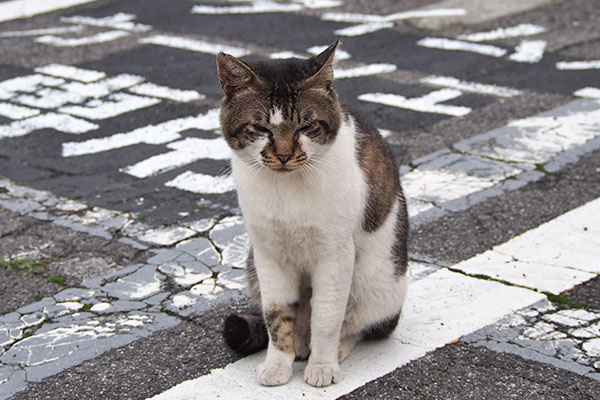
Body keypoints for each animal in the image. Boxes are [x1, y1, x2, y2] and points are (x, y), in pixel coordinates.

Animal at [216, 39, 408, 388]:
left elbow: (327, 317)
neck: (285, 190)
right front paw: (278, 364)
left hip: (378, 280)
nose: (283, 154)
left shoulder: (335, 255)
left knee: (363, 324)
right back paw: (300, 344)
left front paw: (322, 365)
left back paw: (336, 348)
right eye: (260, 127)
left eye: (306, 125)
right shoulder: (268, 254)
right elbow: (277, 314)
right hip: (251, 265)